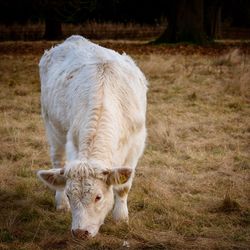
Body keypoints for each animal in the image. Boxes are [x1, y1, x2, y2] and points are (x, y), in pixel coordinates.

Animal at [36, 35, 146, 238]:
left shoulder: (136, 145)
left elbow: (124, 187)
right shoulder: (73, 142)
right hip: (52, 126)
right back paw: (60, 203)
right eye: (70, 194)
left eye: (98, 197)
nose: (80, 232)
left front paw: (121, 218)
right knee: (57, 160)